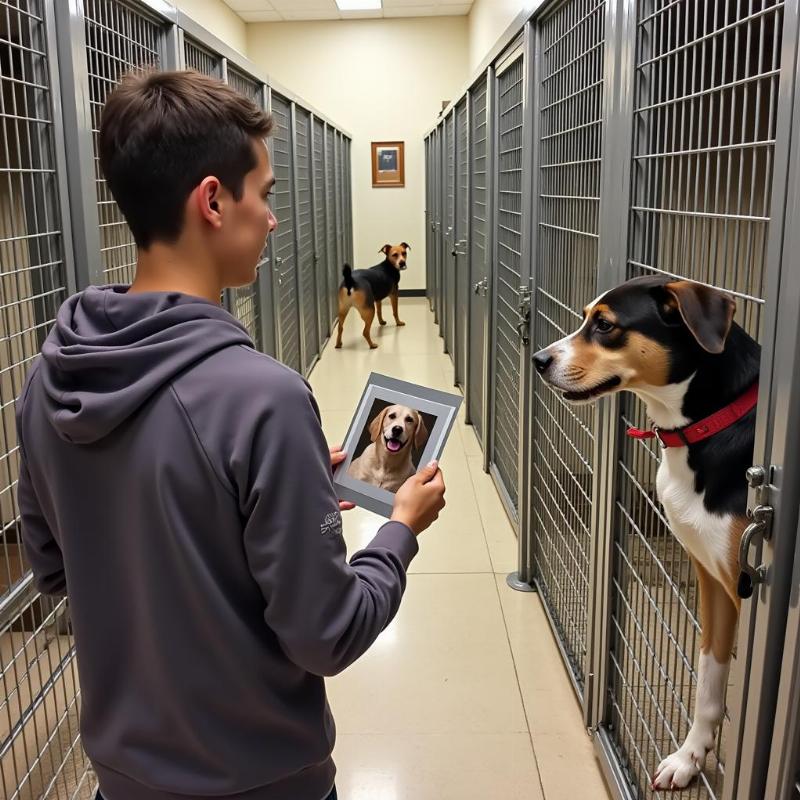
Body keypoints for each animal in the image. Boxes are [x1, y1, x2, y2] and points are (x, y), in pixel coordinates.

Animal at [536, 278, 760, 792]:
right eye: (585, 316)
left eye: (604, 325)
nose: (538, 359)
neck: (708, 424)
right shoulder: (715, 581)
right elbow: (709, 680)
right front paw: (689, 758)